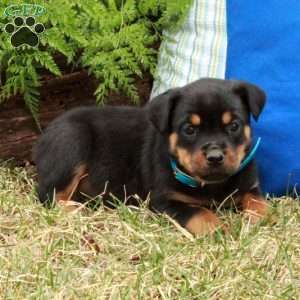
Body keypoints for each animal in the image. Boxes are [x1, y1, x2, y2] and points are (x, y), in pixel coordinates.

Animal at [34, 78, 270, 236]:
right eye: (189, 129)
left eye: (234, 125)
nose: (214, 156)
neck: (211, 184)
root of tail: (45, 133)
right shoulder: (164, 201)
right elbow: (198, 212)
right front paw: (218, 229)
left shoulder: (250, 187)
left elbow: (261, 204)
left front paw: (260, 220)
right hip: (73, 141)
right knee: (49, 194)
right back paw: (78, 210)